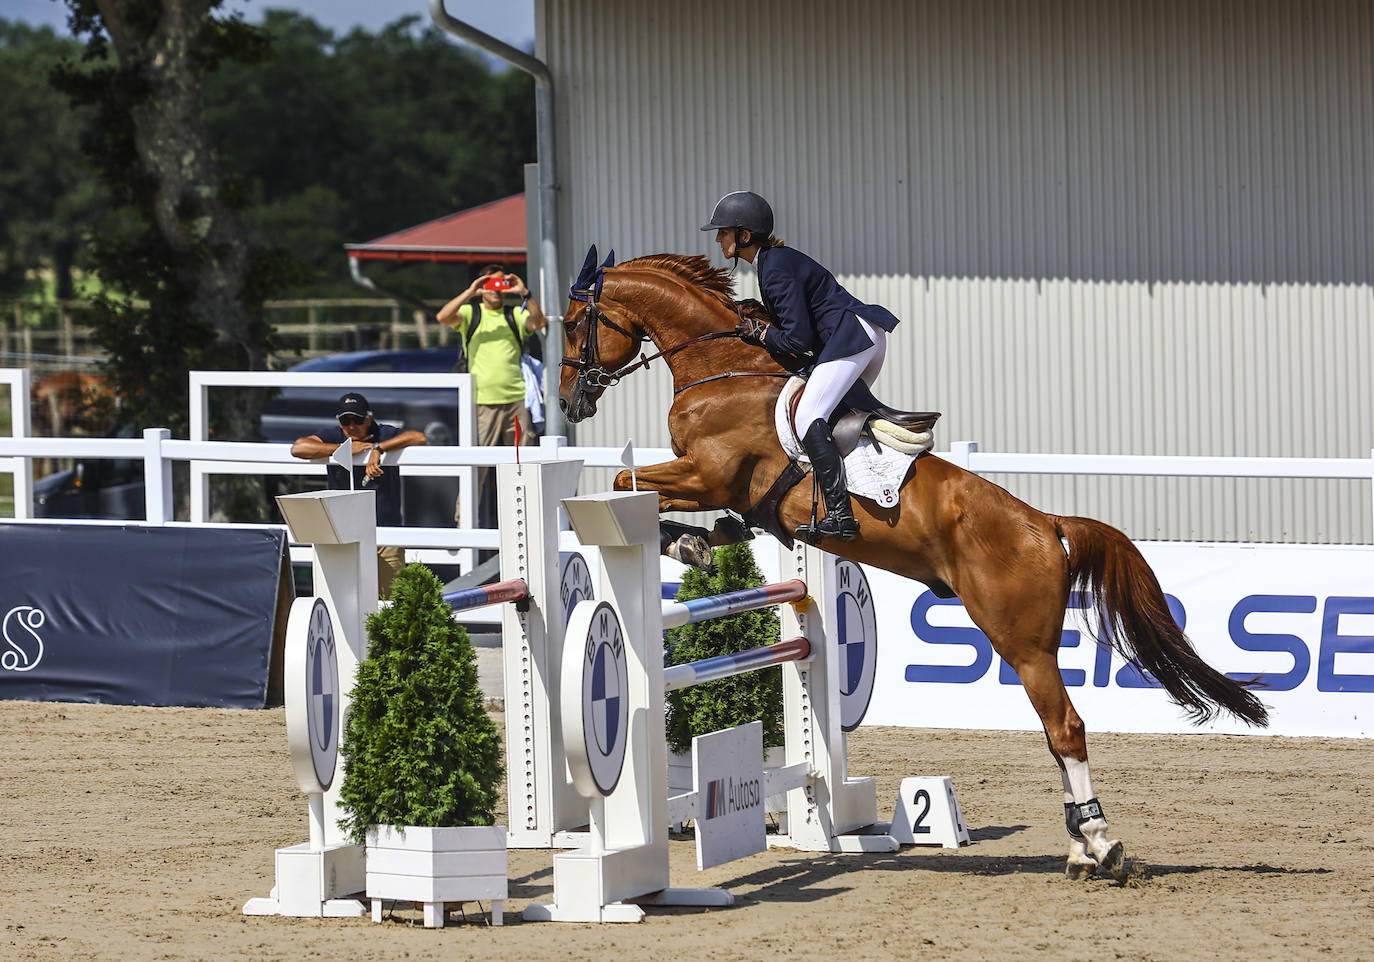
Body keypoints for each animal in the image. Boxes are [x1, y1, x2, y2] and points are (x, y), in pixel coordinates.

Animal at [555, 245, 1264, 879]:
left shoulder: (708, 475)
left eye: (571, 322)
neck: (719, 369)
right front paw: (698, 541)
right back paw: (1077, 849)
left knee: (1066, 728)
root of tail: (1045, 525)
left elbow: (622, 481)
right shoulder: (720, 489)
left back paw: (1101, 845)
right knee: (1054, 733)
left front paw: (680, 540)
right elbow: (646, 491)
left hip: (1020, 640)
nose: (568, 403)